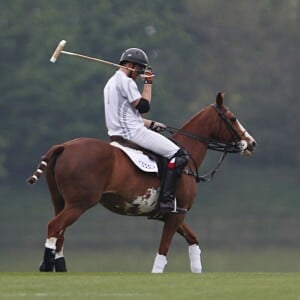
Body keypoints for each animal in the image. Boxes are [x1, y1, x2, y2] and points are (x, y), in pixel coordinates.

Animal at [27, 92, 255, 274]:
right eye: (232, 118)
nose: (251, 143)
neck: (188, 156)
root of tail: (63, 146)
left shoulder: (170, 213)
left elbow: (193, 238)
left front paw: (198, 272)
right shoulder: (177, 212)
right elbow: (164, 248)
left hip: (60, 201)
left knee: (60, 233)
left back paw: (60, 269)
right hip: (79, 203)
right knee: (54, 226)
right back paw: (46, 266)